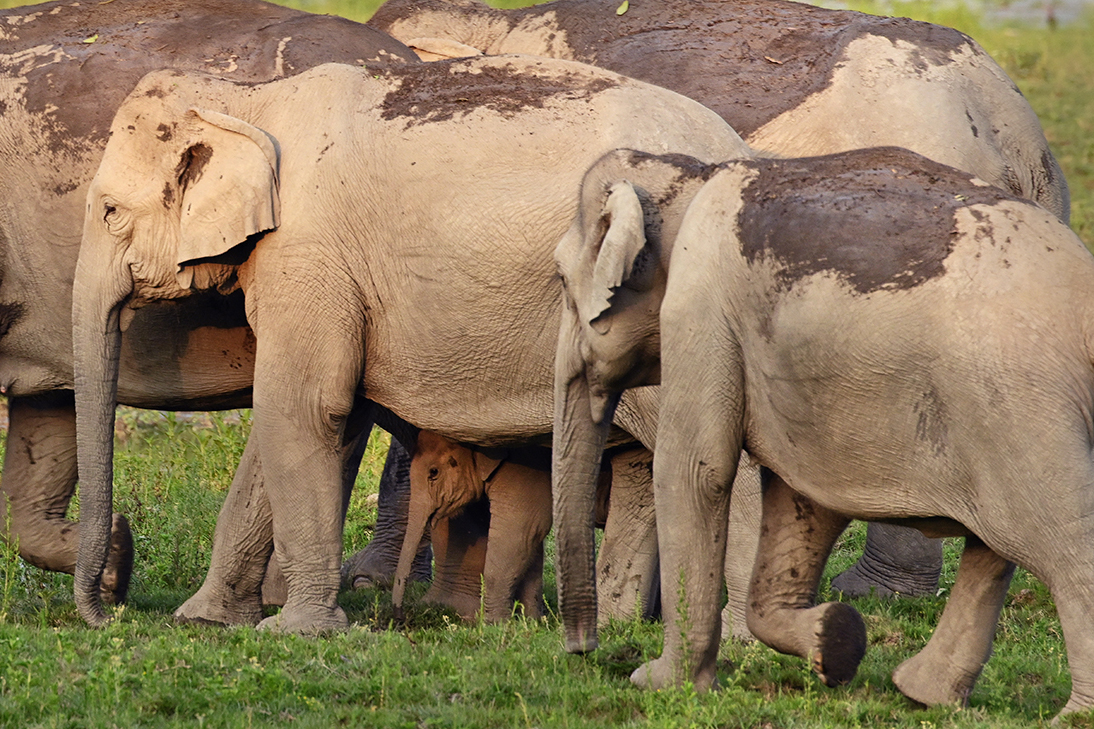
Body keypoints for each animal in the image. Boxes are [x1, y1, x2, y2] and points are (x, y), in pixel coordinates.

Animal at [391, 429, 555, 621]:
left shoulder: (525, 472)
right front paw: (532, 621)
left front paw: (496, 624)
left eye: (434, 472)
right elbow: (532, 540)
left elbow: (521, 531)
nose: (399, 617)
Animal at [551, 146, 1094, 713]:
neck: (691, 174)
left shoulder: (701, 307)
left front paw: (661, 684)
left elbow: (695, 470)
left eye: (561, 281)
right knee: (996, 548)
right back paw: (922, 692)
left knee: (1056, 545)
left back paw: (1069, 717)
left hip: (1018, 406)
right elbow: (802, 501)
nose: (584, 651)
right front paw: (834, 643)